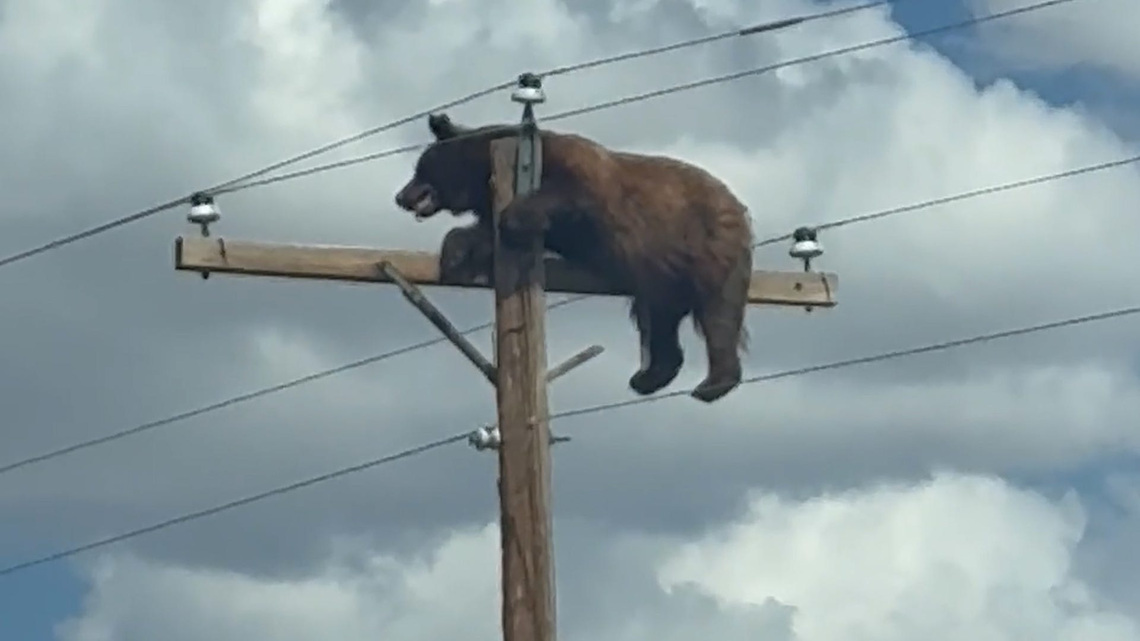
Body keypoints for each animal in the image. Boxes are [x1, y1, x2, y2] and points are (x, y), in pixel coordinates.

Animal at [393, 112, 754, 403]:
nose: (400, 196)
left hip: (707, 244)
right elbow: (482, 235)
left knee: (719, 312)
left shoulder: (577, 175)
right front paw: (455, 253)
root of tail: (737, 204)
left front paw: (511, 223)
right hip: (661, 272)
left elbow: (566, 196)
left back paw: (713, 383)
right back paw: (648, 377)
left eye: (418, 168)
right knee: (659, 318)